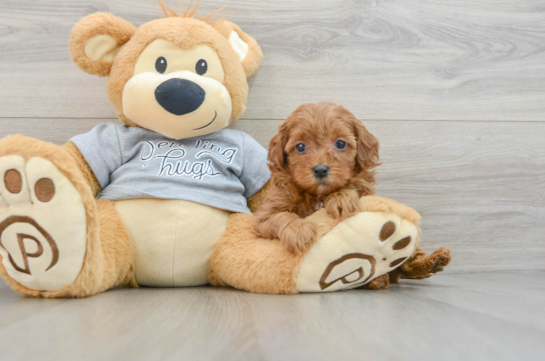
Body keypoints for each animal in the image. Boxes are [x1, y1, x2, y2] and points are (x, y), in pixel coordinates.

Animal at [254, 101, 378, 253]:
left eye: (340, 143)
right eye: (300, 146)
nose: (320, 170)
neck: (318, 195)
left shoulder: (368, 191)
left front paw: (341, 197)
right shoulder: (264, 217)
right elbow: (279, 216)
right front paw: (298, 230)